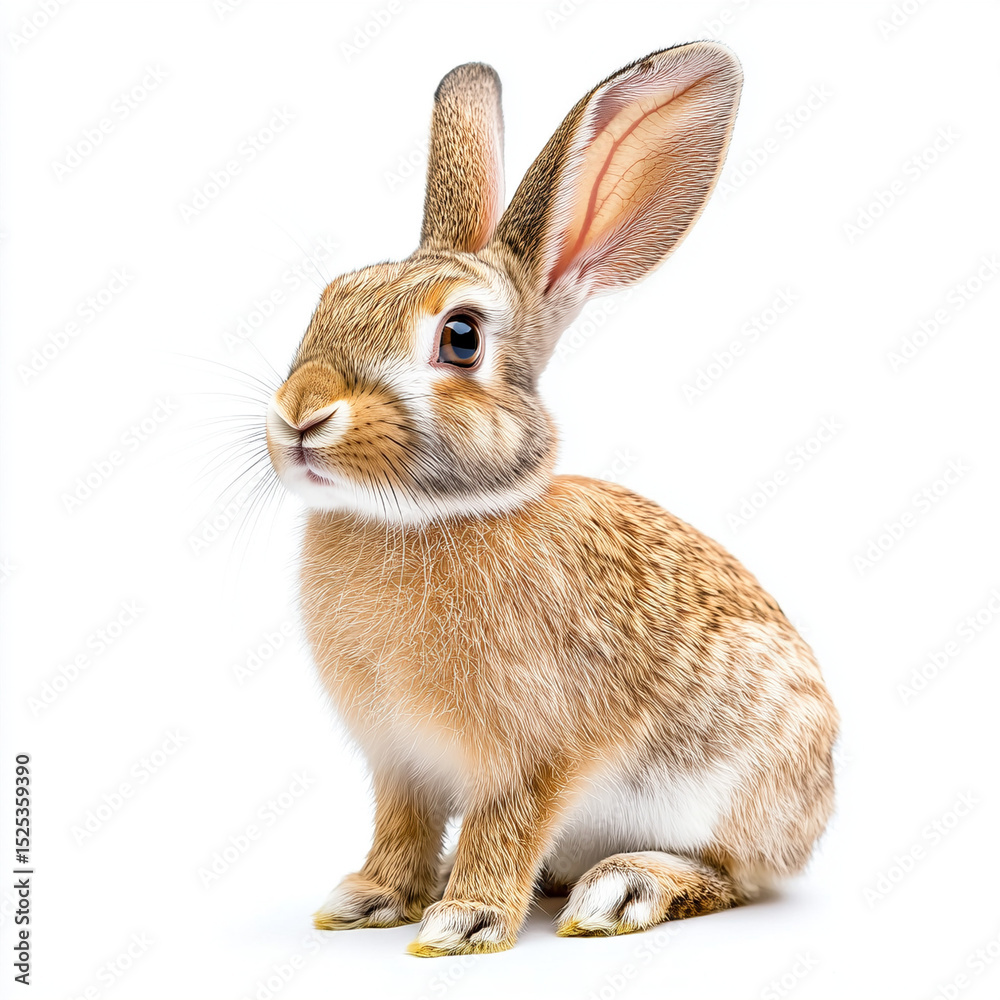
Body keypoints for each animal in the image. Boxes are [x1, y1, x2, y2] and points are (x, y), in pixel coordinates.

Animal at [264, 41, 839, 957]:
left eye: (461, 338)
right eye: (327, 302)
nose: (299, 414)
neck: (427, 518)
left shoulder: (534, 757)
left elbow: (506, 827)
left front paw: (463, 921)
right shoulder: (399, 764)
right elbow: (401, 828)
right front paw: (368, 899)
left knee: (735, 874)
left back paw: (623, 888)